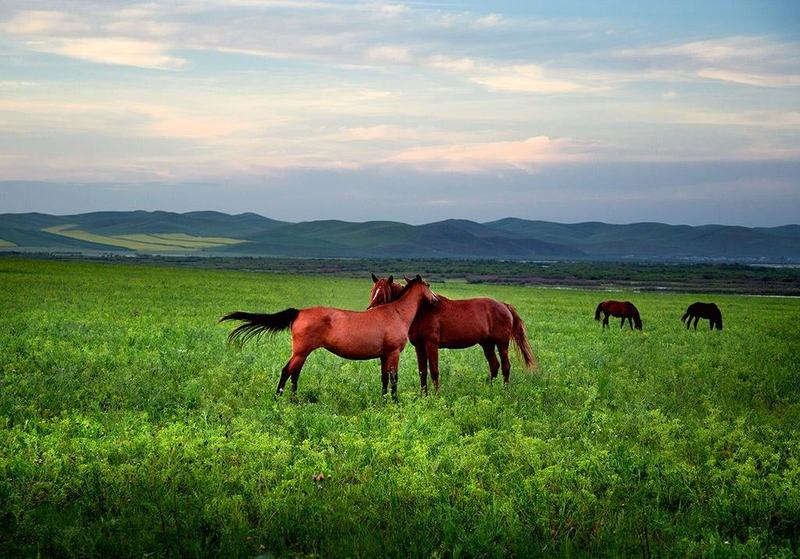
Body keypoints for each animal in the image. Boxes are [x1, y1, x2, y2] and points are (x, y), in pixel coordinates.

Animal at [219, 274, 438, 398]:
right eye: (428, 285)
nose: (435, 300)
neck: (396, 312)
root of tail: (299, 312)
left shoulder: (384, 355)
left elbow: (384, 378)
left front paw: (384, 401)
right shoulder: (393, 353)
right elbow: (393, 379)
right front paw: (394, 402)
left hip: (302, 353)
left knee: (294, 373)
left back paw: (293, 401)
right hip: (301, 352)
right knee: (287, 371)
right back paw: (280, 399)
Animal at [370, 272, 536, 394]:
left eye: (382, 293)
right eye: (373, 291)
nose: (370, 309)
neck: (421, 310)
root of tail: (504, 305)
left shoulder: (431, 345)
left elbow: (434, 371)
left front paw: (436, 396)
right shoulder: (419, 346)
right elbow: (422, 372)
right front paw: (424, 395)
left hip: (502, 344)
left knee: (505, 366)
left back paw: (504, 392)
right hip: (487, 344)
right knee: (494, 365)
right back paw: (490, 389)